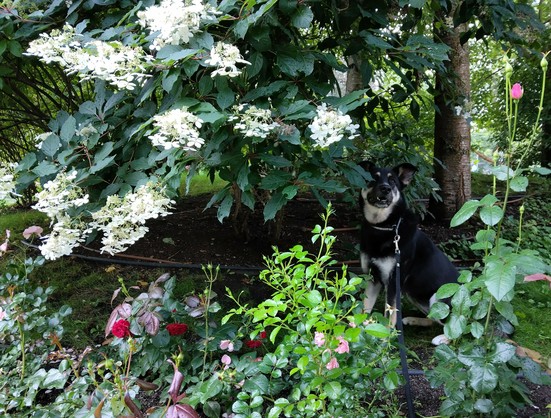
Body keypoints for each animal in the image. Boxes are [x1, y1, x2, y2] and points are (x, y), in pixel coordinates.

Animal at [360, 161, 460, 342]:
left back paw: (444, 338)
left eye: (392, 181)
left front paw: (385, 339)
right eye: (374, 178)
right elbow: (365, 309)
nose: (385, 188)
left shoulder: (393, 283)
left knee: (459, 327)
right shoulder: (373, 278)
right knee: (432, 319)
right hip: (413, 295)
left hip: (437, 297)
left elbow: (389, 315)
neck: (384, 227)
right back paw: (413, 320)